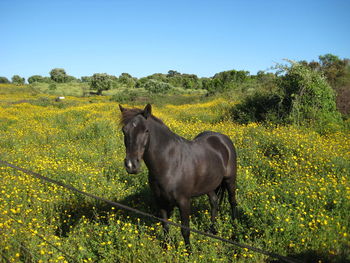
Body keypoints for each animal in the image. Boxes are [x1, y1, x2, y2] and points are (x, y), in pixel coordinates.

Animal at [118, 103, 238, 250]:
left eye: (146, 130)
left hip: (230, 180)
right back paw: (211, 229)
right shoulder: (160, 200)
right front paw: (166, 247)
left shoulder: (184, 201)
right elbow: (165, 225)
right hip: (209, 185)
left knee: (232, 202)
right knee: (214, 202)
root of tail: (222, 139)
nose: (131, 165)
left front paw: (189, 251)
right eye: (124, 130)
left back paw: (235, 229)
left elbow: (185, 229)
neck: (170, 164)